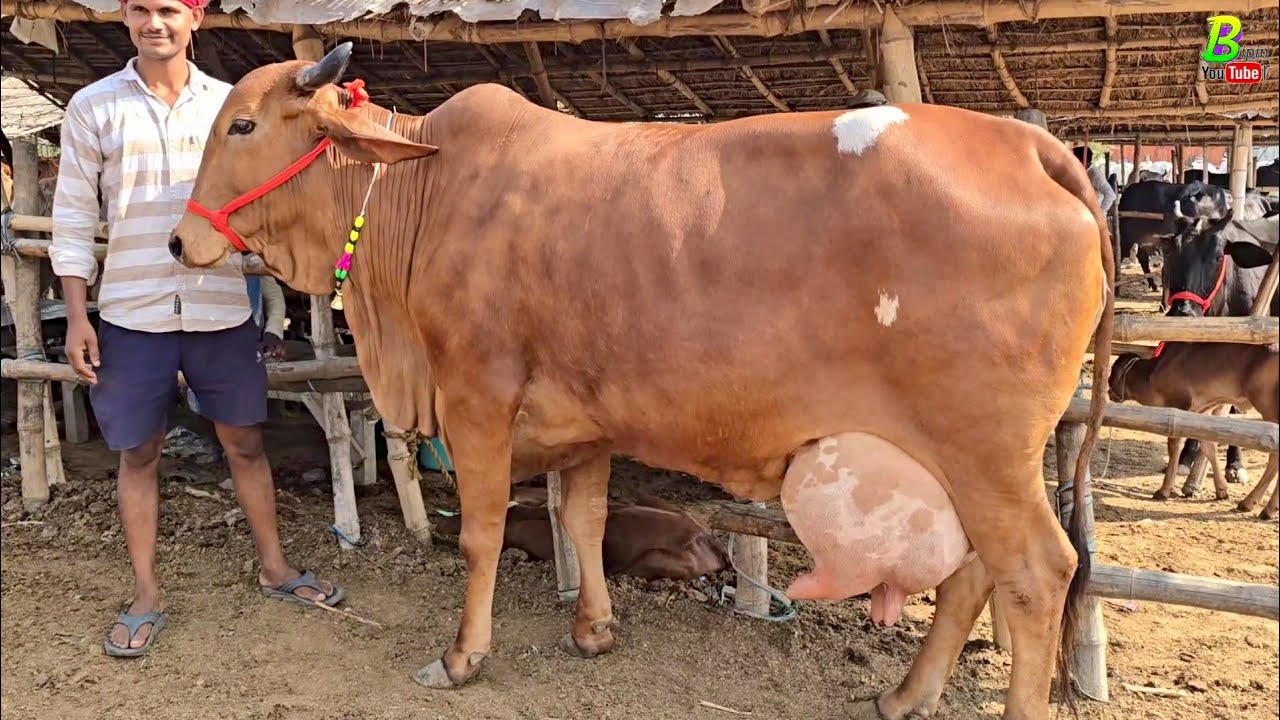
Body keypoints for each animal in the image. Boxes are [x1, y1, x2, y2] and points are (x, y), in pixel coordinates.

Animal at [166, 44, 1114, 720]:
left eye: (242, 126)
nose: (179, 240)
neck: (422, 191)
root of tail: (1028, 142)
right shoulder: (586, 421)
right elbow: (583, 520)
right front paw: (594, 629)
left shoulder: (477, 396)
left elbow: (479, 535)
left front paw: (463, 655)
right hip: (968, 459)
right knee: (976, 571)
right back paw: (904, 694)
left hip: (984, 449)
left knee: (1036, 572)